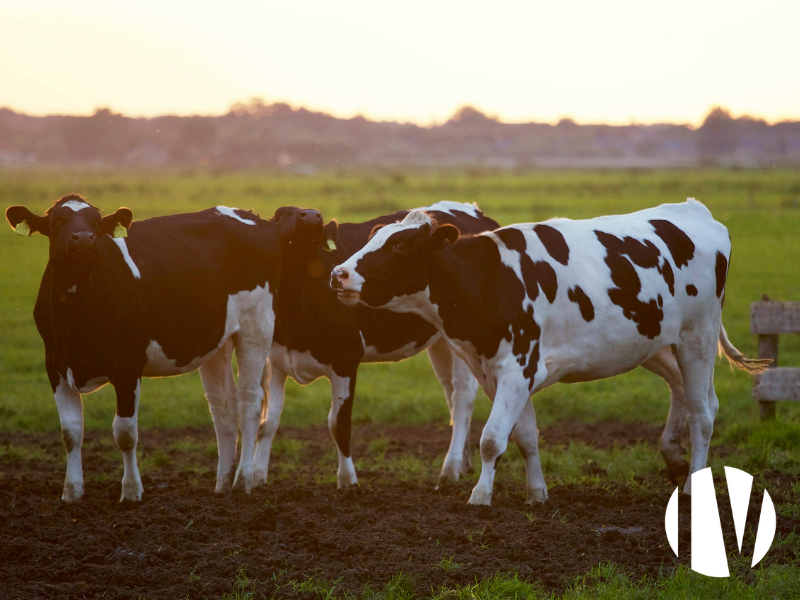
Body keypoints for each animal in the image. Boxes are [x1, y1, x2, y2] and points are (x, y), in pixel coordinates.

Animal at [3, 196, 282, 502]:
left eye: (96, 223)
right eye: (57, 222)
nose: (84, 238)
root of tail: (248, 214)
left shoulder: (128, 366)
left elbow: (125, 432)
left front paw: (131, 492)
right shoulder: (55, 365)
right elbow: (71, 431)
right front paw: (72, 492)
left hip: (256, 327)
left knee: (250, 402)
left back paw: (243, 481)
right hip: (217, 340)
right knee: (223, 406)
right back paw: (221, 484)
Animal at [250, 202, 500, 488]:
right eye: (281, 214)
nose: (312, 215)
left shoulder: (346, 359)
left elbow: (339, 424)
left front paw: (348, 482)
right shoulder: (276, 361)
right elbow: (267, 422)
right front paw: (256, 477)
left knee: (462, 398)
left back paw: (450, 469)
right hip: (442, 342)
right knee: (450, 395)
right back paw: (463, 463)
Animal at [332, 199, 768, 504]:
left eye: (400, 245)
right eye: (373, 237)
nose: (338, 273)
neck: (489, 279)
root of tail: (694, 210)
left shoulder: (516, 367)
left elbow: (491, 439)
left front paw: (480, 496)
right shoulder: (499, 372)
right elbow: (524, 436)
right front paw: (536, 493)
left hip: (698, 336)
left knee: (703, 413)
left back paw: (693, 485)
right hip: (655, 342)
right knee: (688, 392)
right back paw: (673, 457)